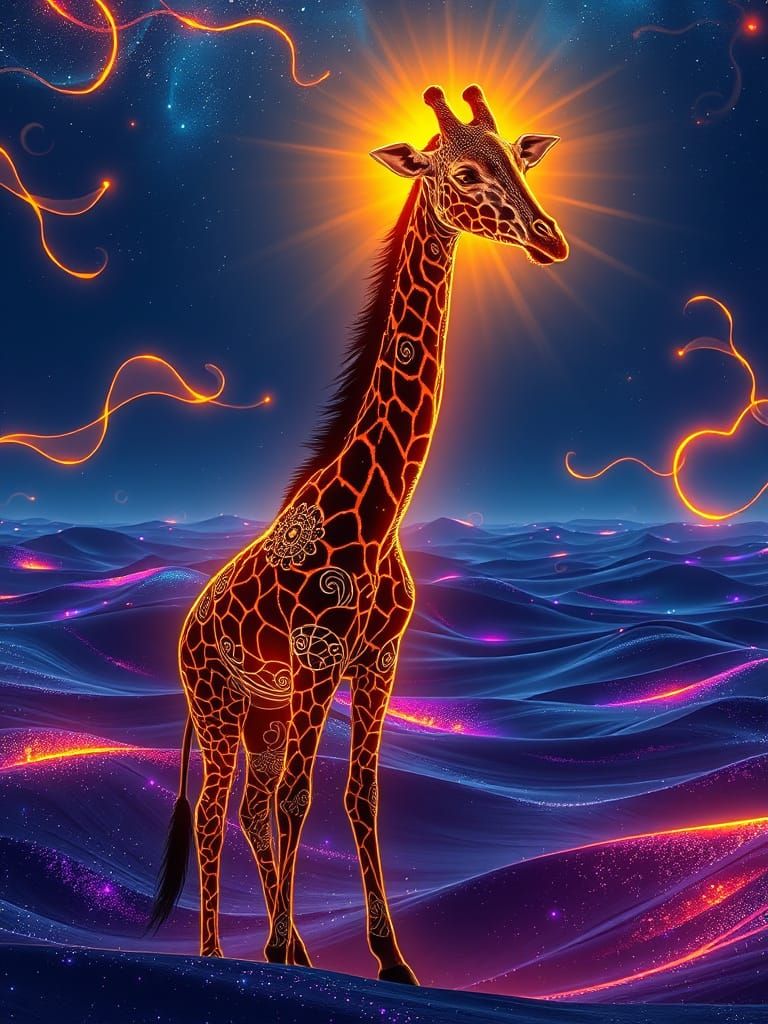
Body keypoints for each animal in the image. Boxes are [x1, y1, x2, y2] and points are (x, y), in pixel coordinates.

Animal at [149, 84, 568, 985]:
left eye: (519, 158)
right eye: (466, 172)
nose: (549, 237)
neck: (382, 514)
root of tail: (187, 627)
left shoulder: (377, 658)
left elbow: (360, 797)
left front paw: (390, 960)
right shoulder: (318, 652)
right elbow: (304, 798)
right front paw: (279, 950)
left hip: (265, 710)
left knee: (252, 806)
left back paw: (298, 951)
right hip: (218, 703)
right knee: (217, 810)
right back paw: (219, 952)